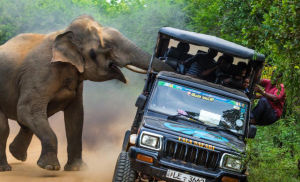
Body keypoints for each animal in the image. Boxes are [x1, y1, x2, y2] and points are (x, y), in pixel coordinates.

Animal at [0, 14, 172, 171]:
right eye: (108, 45)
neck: (64, 33)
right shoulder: (40, 72)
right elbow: (26, 110)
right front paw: (50, 167)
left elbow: (76, 116)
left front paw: (77, 169)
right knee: (6, 127)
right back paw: (6, 167)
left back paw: (17, 155)